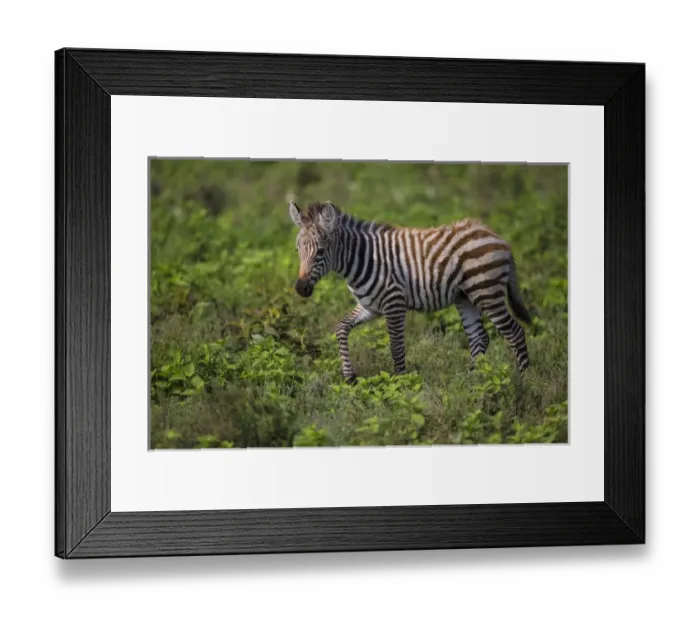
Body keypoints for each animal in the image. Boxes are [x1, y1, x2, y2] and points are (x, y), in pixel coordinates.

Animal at [289, 200, 532, 383]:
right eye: (298, 249)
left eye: (321, 250)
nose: (300, 289)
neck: (362, 258)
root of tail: (497, 237)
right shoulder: (370, 306)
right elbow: (341, 328)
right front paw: (349, 377)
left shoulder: (394, 303)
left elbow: (396, 347)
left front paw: (400, 386)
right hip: (466, 297)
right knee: (479, 338)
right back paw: (473, 382)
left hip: (486, 292)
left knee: (515, 333)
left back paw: (526, 382)